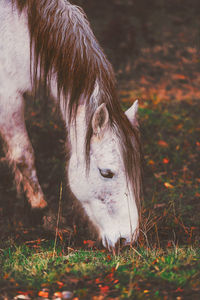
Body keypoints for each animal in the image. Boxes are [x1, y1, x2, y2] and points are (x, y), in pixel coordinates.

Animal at [0, 0, 142, 250]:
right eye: (106, 173)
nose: (127, 239)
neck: (19, 30)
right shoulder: (8, 97)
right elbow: (23, 155)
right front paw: (42, 212)